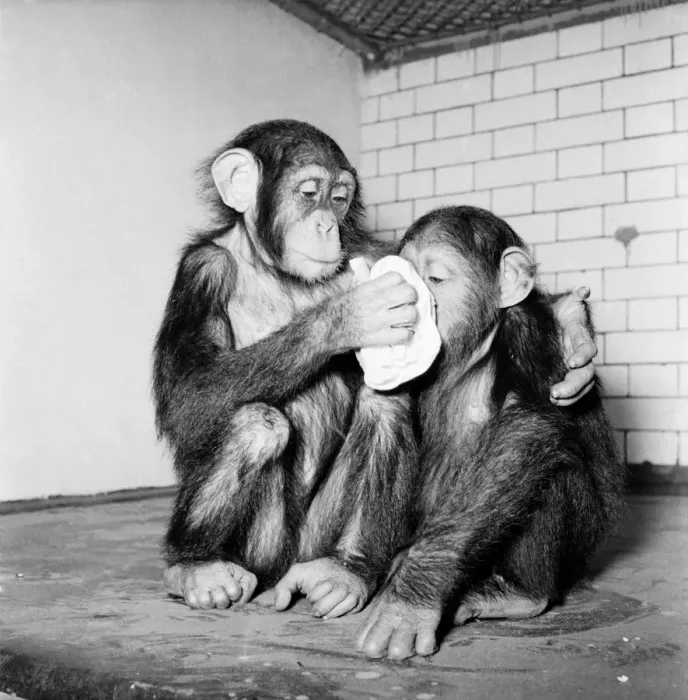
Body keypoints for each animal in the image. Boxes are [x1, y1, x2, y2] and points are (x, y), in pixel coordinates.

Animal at [355, 206, 625, 660]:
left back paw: (521, 594)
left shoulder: (528, 335)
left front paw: (411, 598)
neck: (472, 354)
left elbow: (526, 425)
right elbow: (385, 410)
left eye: (435, 278)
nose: (408, 305)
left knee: (544, 465)